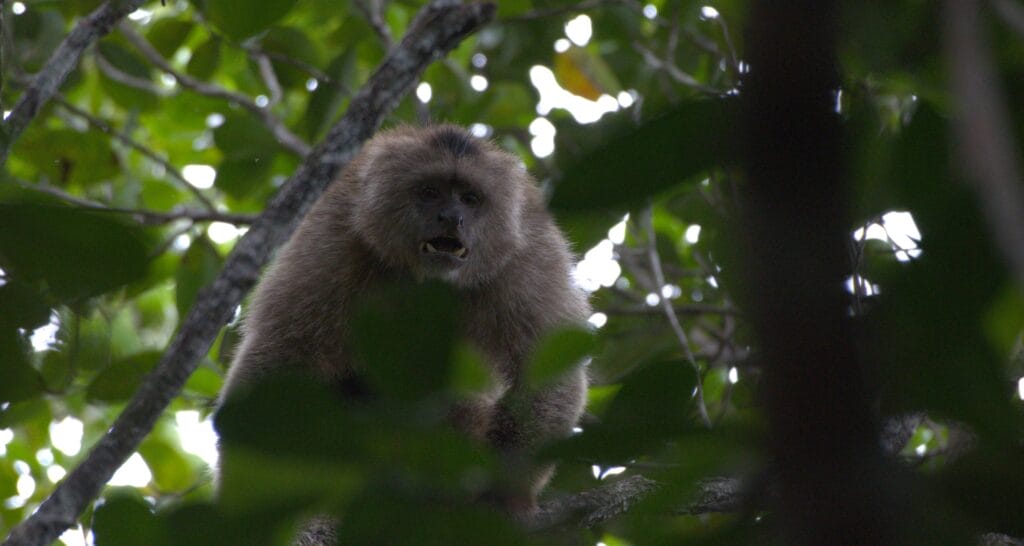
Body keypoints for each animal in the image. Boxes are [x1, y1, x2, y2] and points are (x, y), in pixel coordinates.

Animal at [222, 124, 593, 528]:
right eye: (430, 192)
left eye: (470, 198)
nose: (451, 217)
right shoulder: (336, 233)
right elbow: (283, 359)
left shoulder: (530, 254)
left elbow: (546, 372)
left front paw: (501, 493)